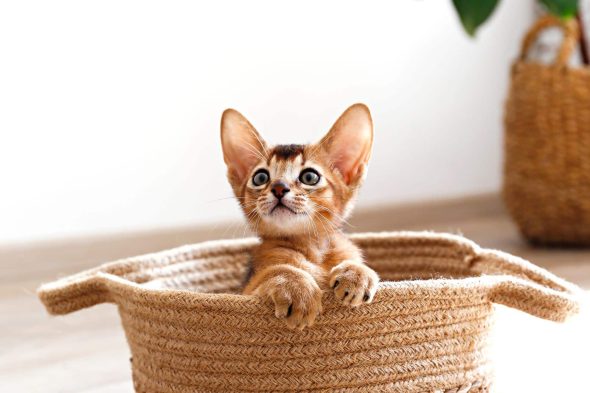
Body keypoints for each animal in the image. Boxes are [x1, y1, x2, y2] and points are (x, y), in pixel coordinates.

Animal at [221, 102, 380, 328]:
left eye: (310, 177)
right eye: (260, 177)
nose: (279, 188)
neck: (313, 249)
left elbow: (355, 262)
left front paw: (356, 273)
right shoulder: (247, 291)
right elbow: (280, 269)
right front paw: (296, 289)